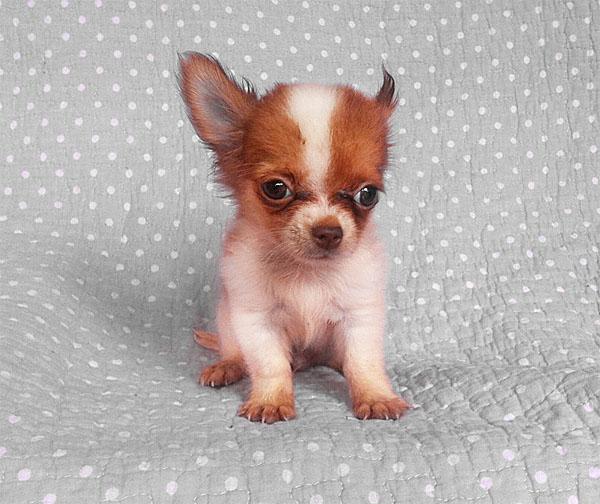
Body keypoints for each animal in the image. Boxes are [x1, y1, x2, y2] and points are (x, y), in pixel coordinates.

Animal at [178, 52, 410, 423]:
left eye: (368, 194)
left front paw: (376, 396)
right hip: (227, 319)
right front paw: (271, 400)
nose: (329, 231)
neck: (307, 274)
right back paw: (228, 365)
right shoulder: (256, 320)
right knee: (235, 350)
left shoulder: (359, 315)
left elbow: (363, 363)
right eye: (276, 188)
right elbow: (270, 365)